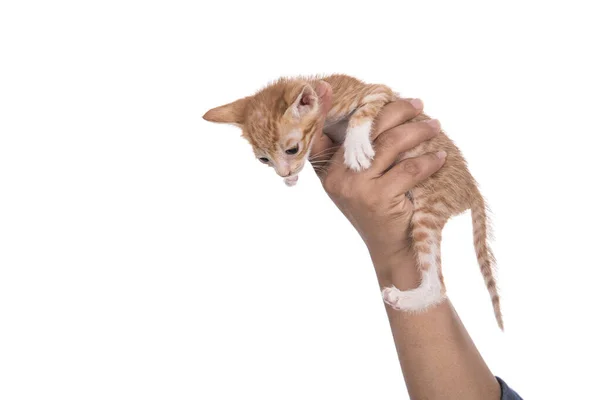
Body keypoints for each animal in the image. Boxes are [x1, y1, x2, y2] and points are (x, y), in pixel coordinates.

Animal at [202, 73, 502, 330]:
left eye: (292, 149)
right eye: (264, 159)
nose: (284, 173)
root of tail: (472, 189)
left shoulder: (375, 90)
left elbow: (363, 111)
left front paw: (356, 146)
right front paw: (292, 177)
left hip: (428, 208)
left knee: (437, 285)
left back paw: (407, 299)